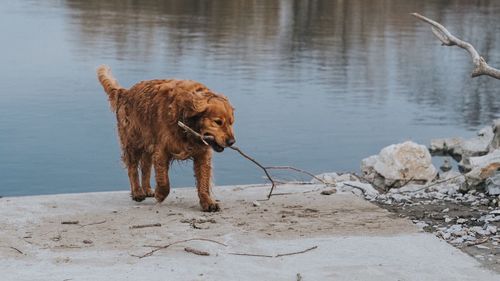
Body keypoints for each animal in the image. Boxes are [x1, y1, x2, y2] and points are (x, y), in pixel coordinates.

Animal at [99, 65, 236, 210]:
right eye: (218, 122)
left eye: (231, 122)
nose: (232, 141)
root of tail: (125, 92)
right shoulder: (161, 150)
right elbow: (164, 180)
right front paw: (160, 194)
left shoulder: (202, 154)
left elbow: (203, 180)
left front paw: (207, 202)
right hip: (133, 141)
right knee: (133, 168)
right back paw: (137, 192)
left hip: (147, 143)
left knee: (146, 166)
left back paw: (147, 189)